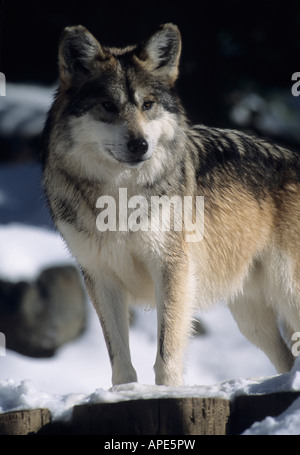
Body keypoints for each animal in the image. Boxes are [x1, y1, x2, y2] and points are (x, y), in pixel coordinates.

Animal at [41, 23, 300, 386]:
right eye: (108, 105)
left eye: (148, 104)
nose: (140, 145)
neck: (119, 195)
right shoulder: (101, 279)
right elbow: (119, 360)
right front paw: (127, 393)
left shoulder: (171, 269)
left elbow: (167, 353)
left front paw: (168, 391)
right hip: (251, 320)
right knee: (285, 359)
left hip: (287, 292)